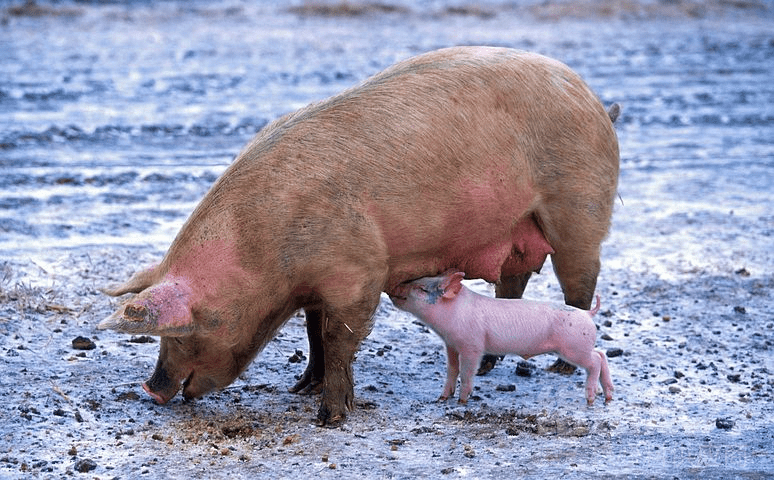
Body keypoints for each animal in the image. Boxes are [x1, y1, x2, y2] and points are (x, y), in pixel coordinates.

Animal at [392, 272, 616, 404]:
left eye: (421, 289)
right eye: (416, 281)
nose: (394, 287)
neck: (454, 312)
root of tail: (587, 314)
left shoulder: (472, 344)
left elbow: (466, 372)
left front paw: (462, 401)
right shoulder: (451, 344)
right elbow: (451, 370)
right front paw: (442, 398)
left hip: (574, 348)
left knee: (595, 361)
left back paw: (590, 399)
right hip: (581, 346)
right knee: (601, 354)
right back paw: (608, 396)